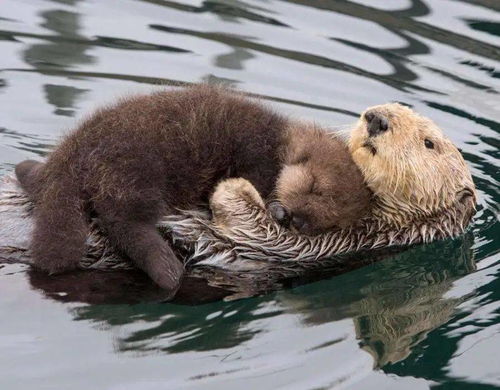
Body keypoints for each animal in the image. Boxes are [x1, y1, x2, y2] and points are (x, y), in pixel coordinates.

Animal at [13, 84, 372, 296]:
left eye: (324, 221)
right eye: (314, 188)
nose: (295, 220)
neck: (281, 142)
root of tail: (72, 157)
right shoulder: (257, 155)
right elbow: (258, 177)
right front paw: (275, 206)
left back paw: (26, 170)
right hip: (135, 169)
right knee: (125, 221)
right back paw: (167, 270)